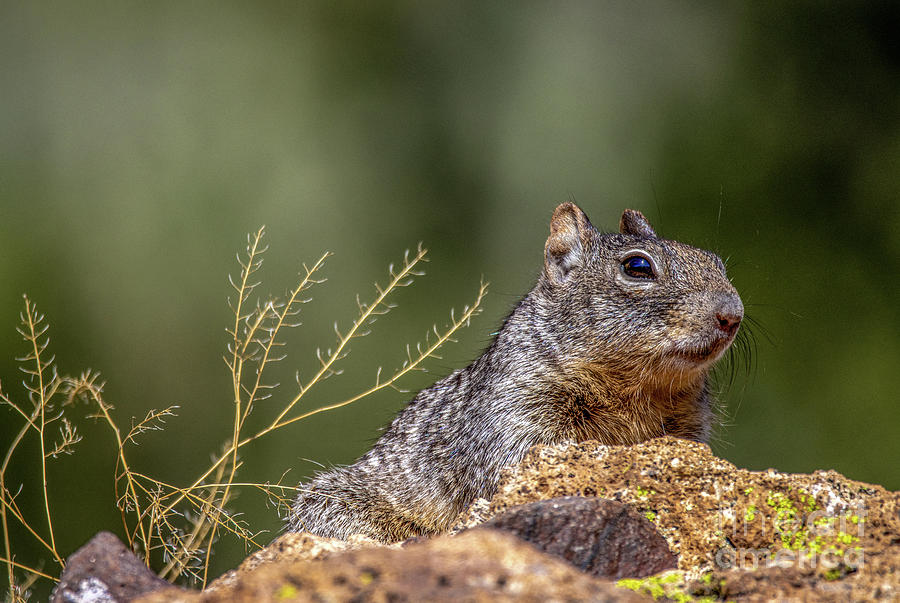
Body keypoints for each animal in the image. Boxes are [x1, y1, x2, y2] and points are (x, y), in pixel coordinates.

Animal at [288, 203, 744, 544]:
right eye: (637, 267)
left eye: (716, 262)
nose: (732, 315)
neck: (638, 387)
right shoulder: (515, 407)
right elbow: (518, 462)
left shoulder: (687, 425)